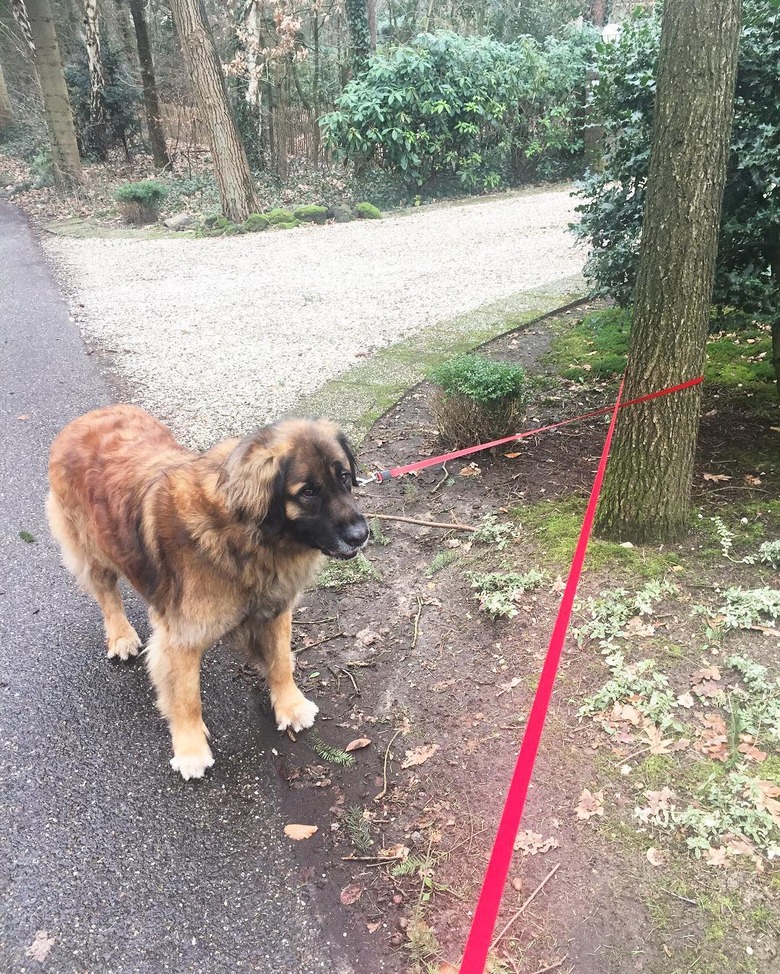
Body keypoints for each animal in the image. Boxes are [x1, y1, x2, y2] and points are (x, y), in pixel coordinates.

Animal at [45, 408, 368, 780]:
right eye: (308, 492)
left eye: (344, 478)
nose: (361, 535)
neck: (241, 533)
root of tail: (83, 419)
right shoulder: (182, 637)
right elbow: (187, 697)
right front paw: (190, 750)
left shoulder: (274, 609)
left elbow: (280, 661)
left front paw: (291, 704)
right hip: (92, 548)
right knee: (107, 593)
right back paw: (121, 636)